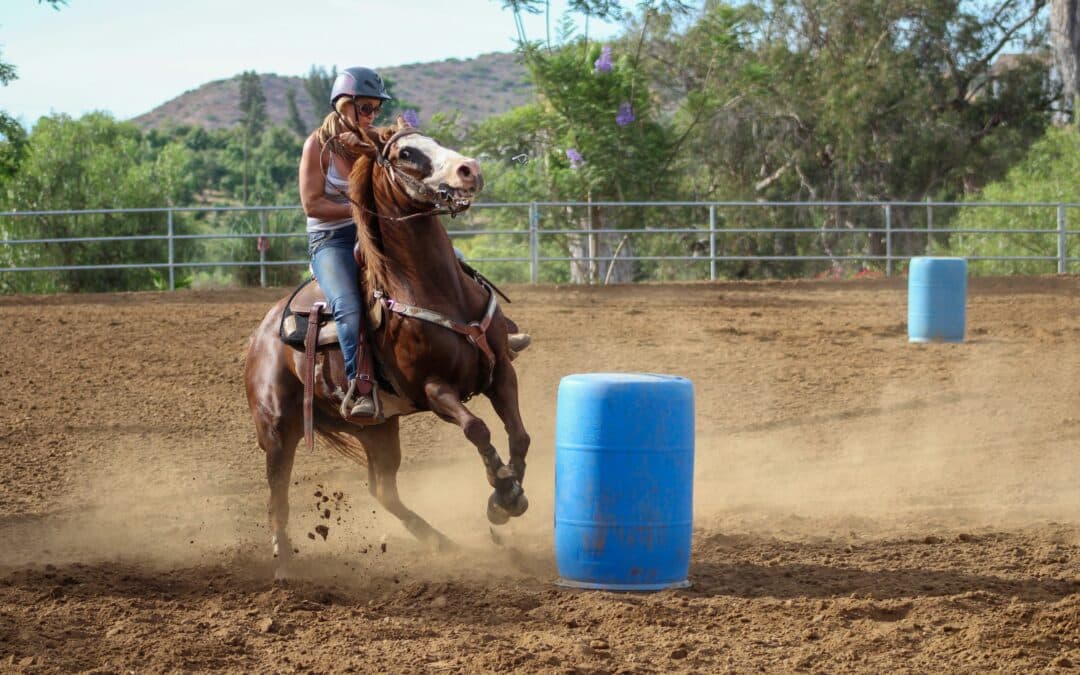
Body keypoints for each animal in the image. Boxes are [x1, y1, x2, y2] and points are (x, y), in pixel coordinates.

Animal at [246, 119, 531, 574]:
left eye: (433, 140)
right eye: (406, 154)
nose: (469, 169)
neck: (438, 289)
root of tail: (261, 336)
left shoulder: (501, 369)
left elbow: (519, 435)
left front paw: (509, 498)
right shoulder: (433, 389)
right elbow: (477, 427)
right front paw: (501, 491)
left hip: (377, 429)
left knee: (383, 490)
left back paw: (442, 542)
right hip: (276, 427)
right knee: (278, 493)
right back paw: (284, 562)